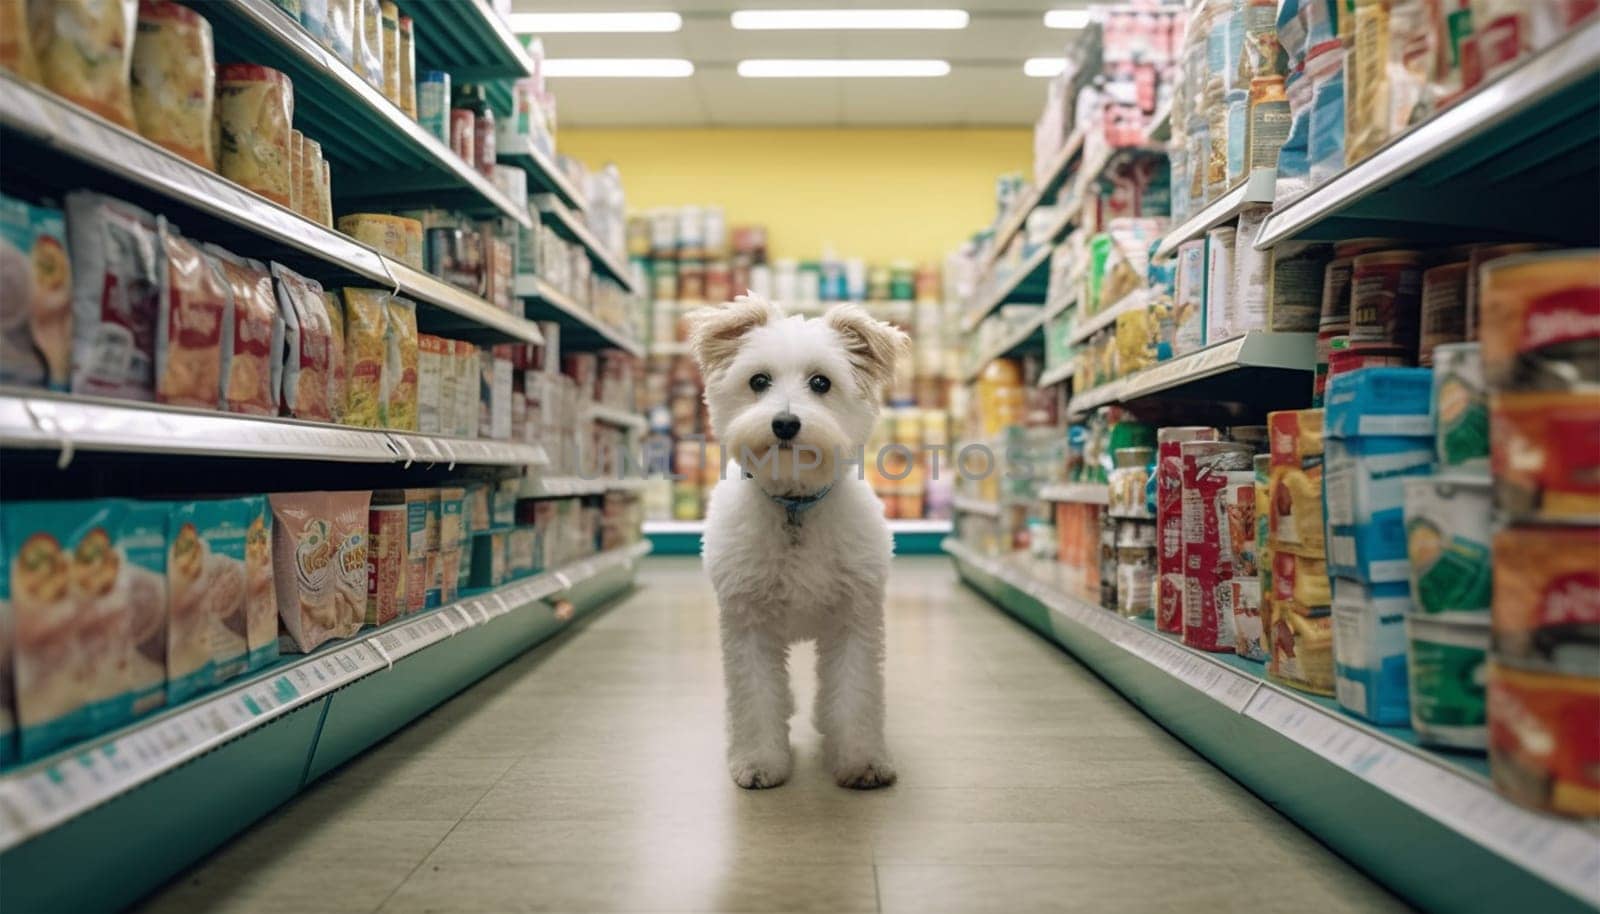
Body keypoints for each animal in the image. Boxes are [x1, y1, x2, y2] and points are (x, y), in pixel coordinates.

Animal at [688, 296, 915, 790]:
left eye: (820, 382)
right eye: (758, 381)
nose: (786, 423)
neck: (795, 506)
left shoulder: (854, 622)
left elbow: (854, 695)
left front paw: (861, 759)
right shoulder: (749, 627)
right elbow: (756, 698)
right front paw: (759, 760)